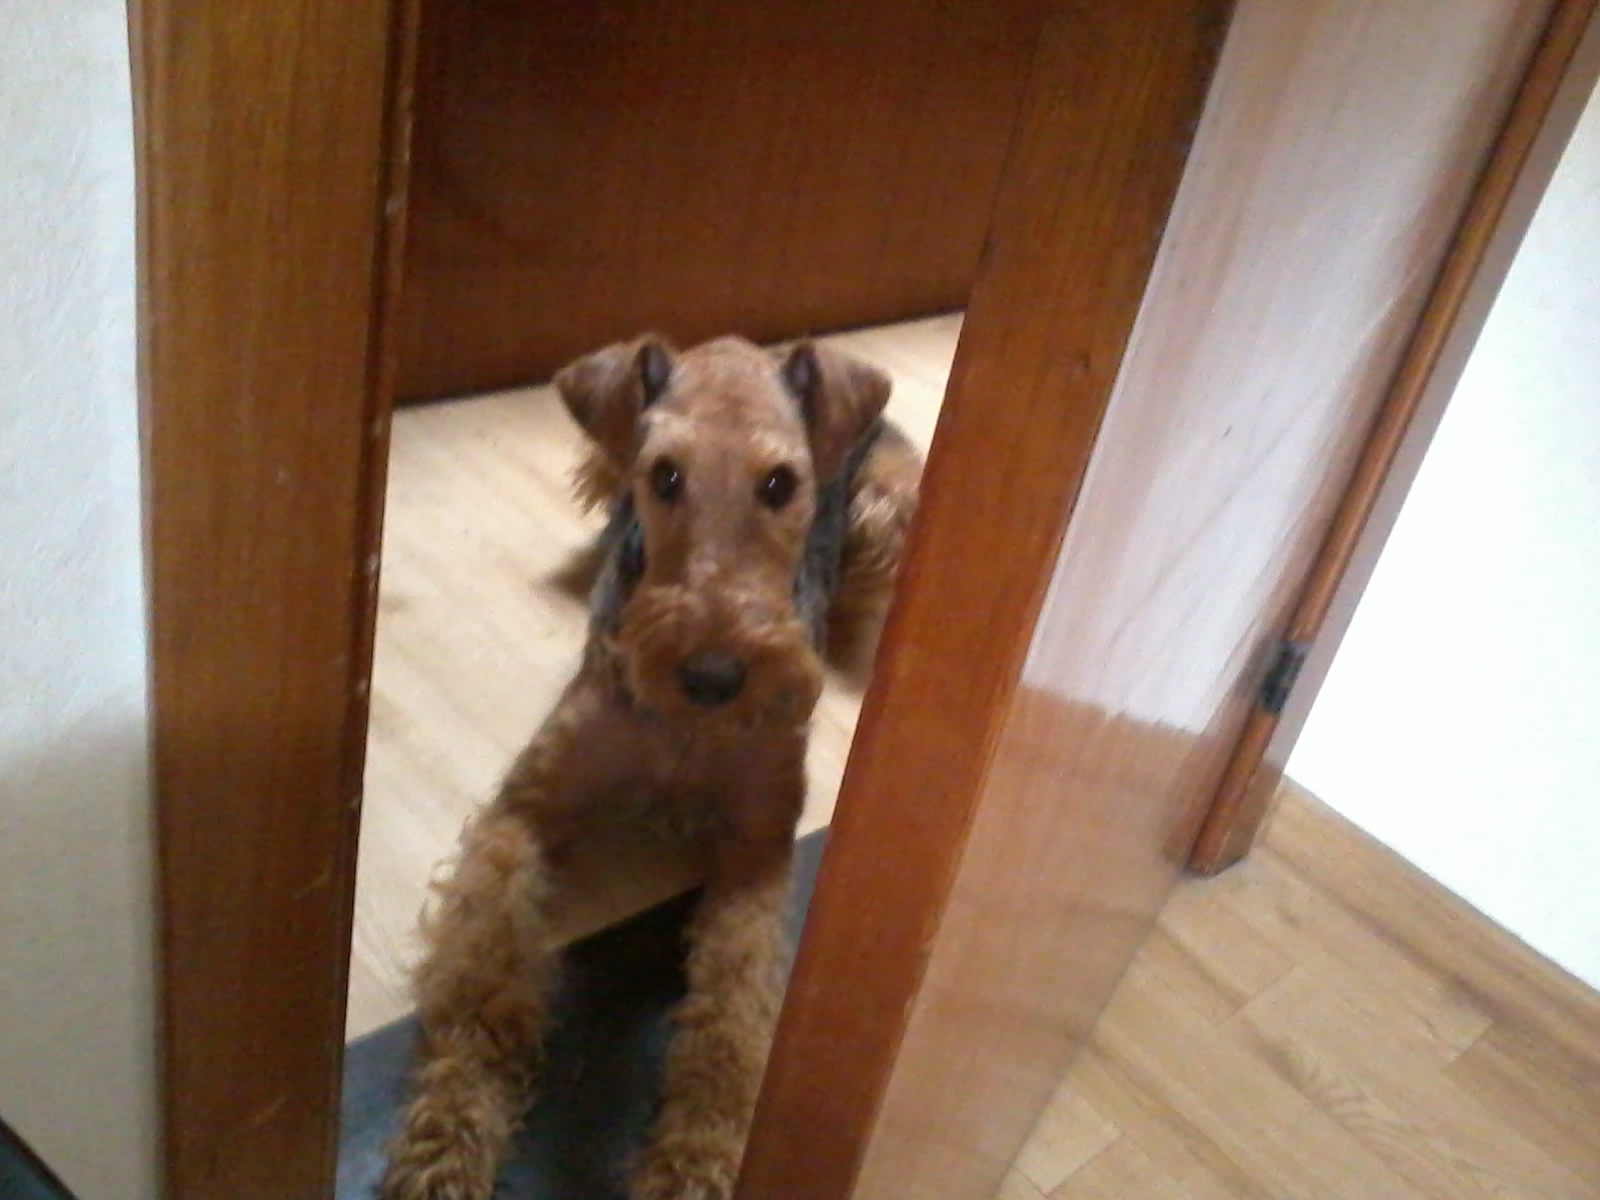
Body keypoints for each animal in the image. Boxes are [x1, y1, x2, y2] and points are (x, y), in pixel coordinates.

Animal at [379, 334, 921, 1200]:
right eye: (665, 475)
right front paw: (447, 1144)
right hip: (601, 458)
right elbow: (484, 980)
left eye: (782, 483)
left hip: (891, 502)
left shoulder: (758, 843)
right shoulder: (525, 805)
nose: (713, 677)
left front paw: (695, 1162)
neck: (686, 732)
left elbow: (730, 1015)